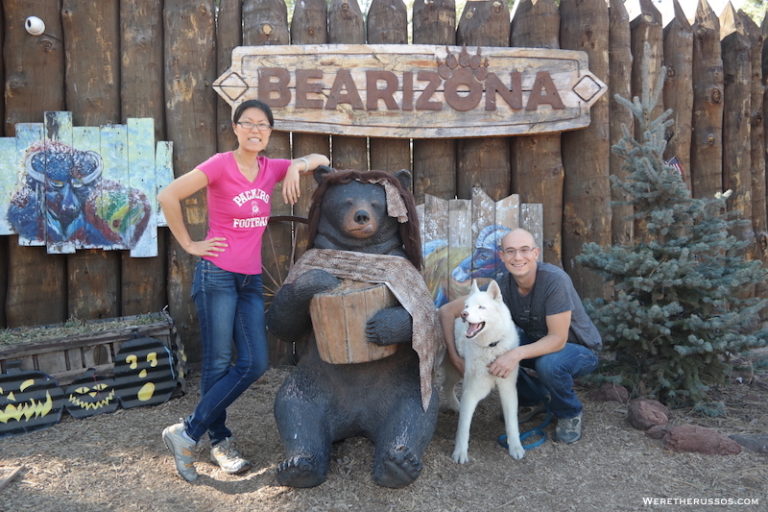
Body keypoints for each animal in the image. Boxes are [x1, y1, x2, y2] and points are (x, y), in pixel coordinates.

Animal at [444, 280, 528, 464]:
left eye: (481, 307)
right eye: (467, 306)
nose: (463, 314)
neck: (491, 347)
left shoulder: (508, 389)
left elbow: (512, 423)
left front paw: (515, 447)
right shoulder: (471, 391)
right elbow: (463, 427)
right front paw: (460, 452)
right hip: (456, 371)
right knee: (445, 386)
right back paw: (455, 405)